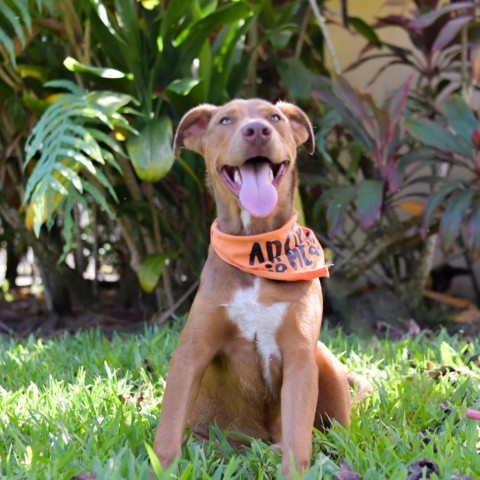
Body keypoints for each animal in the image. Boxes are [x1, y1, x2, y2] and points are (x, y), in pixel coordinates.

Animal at [156, 99, 370, 478]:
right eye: (225, 120)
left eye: (276, 117)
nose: (257, 130)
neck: (256, 246)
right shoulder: (191, 352)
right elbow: (168, 428)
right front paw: (161, 468)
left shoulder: (300, 357)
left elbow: (298, 438)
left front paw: (294, 469)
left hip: (323, 359)